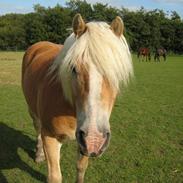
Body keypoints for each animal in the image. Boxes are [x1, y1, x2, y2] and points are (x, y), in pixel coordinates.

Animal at [21, 13, 133, 182]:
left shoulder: (84, 143)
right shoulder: (50, 137)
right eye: (73, 68)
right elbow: (55, 176)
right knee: (37, 128)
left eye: (117, 72)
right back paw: (39, 154)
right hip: (32, 111)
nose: (95, 139)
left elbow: (81, 167)